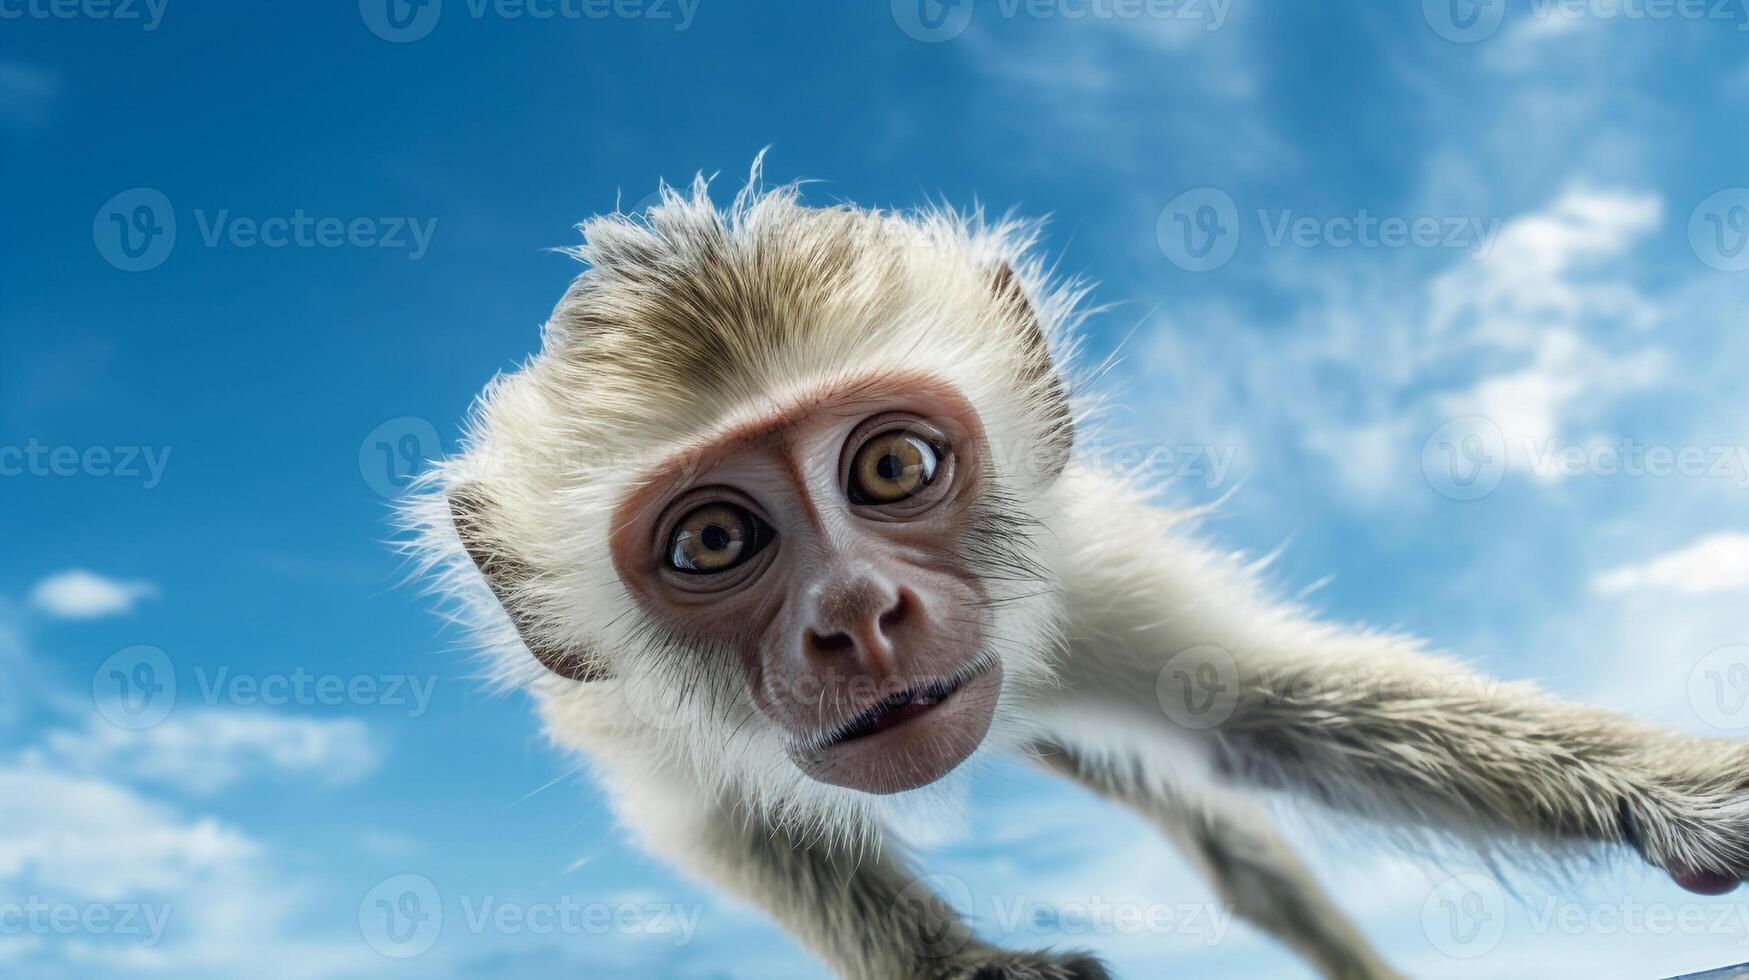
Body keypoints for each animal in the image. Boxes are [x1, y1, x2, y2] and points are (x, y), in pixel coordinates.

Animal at [402, 168, 1749, 980]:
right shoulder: (624, 709)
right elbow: (734, 824)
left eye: (891, 464)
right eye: (715, 542)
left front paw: (1679, 788)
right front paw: (965, 969)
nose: (859, 614)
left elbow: (1266, 714)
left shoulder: (1086, 565)